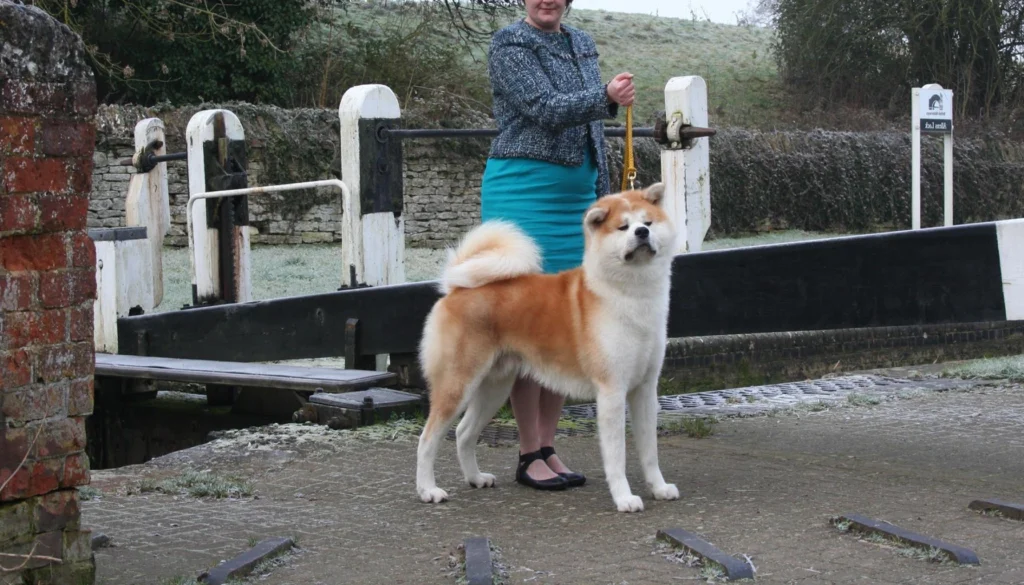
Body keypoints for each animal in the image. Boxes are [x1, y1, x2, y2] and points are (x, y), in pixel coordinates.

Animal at [415, 183, 679, 512]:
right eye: (623, 227)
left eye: (648, 222)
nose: (642, 233)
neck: (630, 295)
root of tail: (456, 288)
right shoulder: (612, 391)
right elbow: (617, 456)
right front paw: (624, 498)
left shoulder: (645, 388)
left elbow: (650, 451)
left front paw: (659, 488)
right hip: (457, 384)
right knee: (427, 439)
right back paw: (428, 490)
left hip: (494, 387)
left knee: (464, 433)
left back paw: (476, 478)